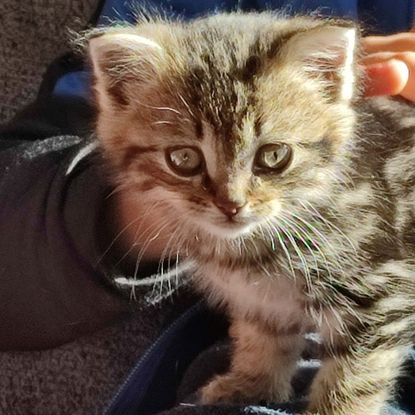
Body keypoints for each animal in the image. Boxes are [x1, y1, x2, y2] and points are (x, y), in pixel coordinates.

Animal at [86, 11, 415, 415]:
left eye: (274, 156)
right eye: (183, 159)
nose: (231, 205)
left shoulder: (381, 293)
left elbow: (354, 378)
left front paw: (334, 408)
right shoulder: (261, 302)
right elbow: (263, 340)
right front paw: (252, 384)